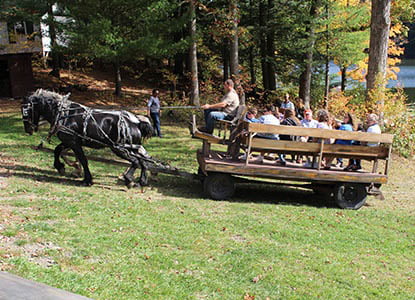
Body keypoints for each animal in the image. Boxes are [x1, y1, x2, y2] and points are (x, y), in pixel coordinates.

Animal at [22, 89, 154, 188]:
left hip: (119, 149)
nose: (28, 129)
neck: (63, 114)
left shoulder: (73, 142)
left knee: (136, 161)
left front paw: (87, 180)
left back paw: (129, 180)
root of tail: (136, 123)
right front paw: (60, 167)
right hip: (132, 148)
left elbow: (83, 159)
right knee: (143, 161)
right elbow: (57, 150)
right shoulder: (69, 141)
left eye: (26, 110)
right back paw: (141, 182)